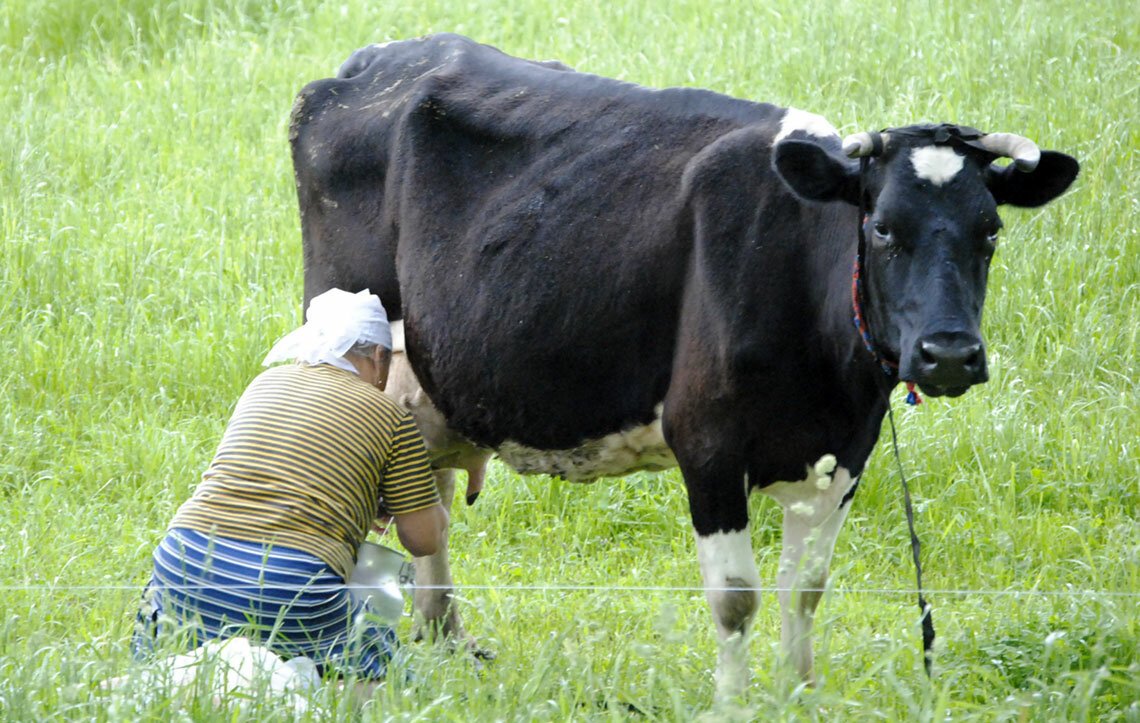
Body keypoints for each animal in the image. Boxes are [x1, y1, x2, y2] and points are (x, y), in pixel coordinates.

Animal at [289, 35, 1080, 697]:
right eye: (883, 228)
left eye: (990, 231)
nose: (949, 352)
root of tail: (374, 62)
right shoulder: (708, 441)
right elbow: (736, 599)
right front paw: (735, 703)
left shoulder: (846, 452)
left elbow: (806, 588)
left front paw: (799, 694)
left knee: (433, 500)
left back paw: (445, 636)